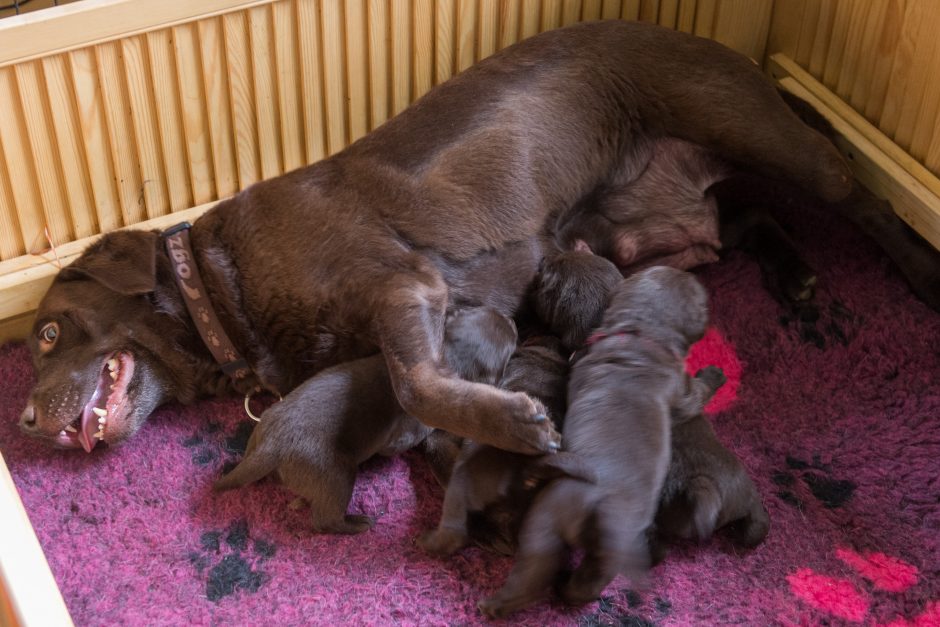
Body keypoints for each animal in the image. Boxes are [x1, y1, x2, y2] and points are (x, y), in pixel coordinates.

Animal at [16, 18, 852, 452]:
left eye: (50, 332)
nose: (22, 422)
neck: (221, 289)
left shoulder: (403, 282)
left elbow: (414, 382)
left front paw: (511, 421)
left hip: (753, 128)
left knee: (841, 176)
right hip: (625, 231)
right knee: (732, 222)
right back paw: (795, 273)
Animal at [482, 264, 716, 620]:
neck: (640, 334)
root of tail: (608, 513)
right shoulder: (680, 386)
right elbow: (695, 395)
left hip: (548, 519)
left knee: (537, 568)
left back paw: (502, 603)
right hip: (599, 546)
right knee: (585, 581)